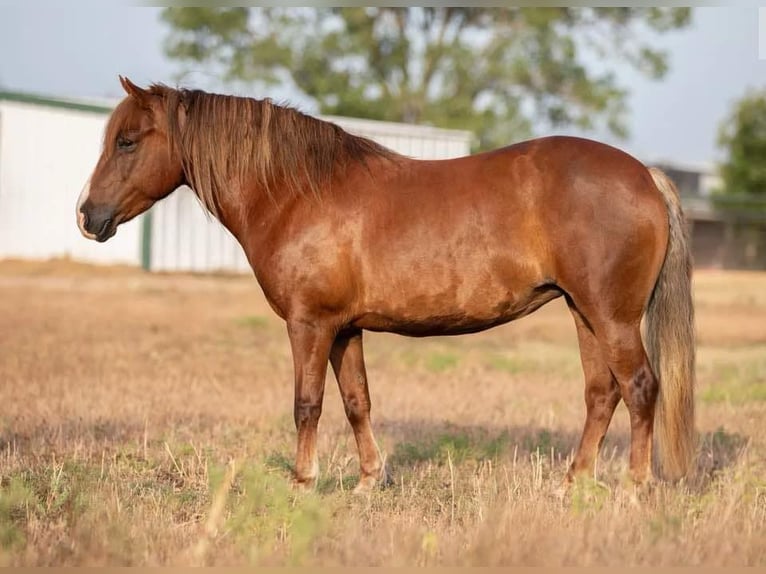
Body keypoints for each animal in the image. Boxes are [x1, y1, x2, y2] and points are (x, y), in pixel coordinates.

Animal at [76, 77, 696, 496]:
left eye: (128, 141)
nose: (88, 216)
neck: (298, 192)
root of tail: (644, 175)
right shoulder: (345, 329)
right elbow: (357, 402)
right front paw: (368, 481)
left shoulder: (310, 324)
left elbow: (307, 405)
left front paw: (302, 483)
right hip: (583, 312)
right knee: (601, 393)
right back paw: (572, 483)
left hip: (611, 317)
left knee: (640, 388)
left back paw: (634, 489)